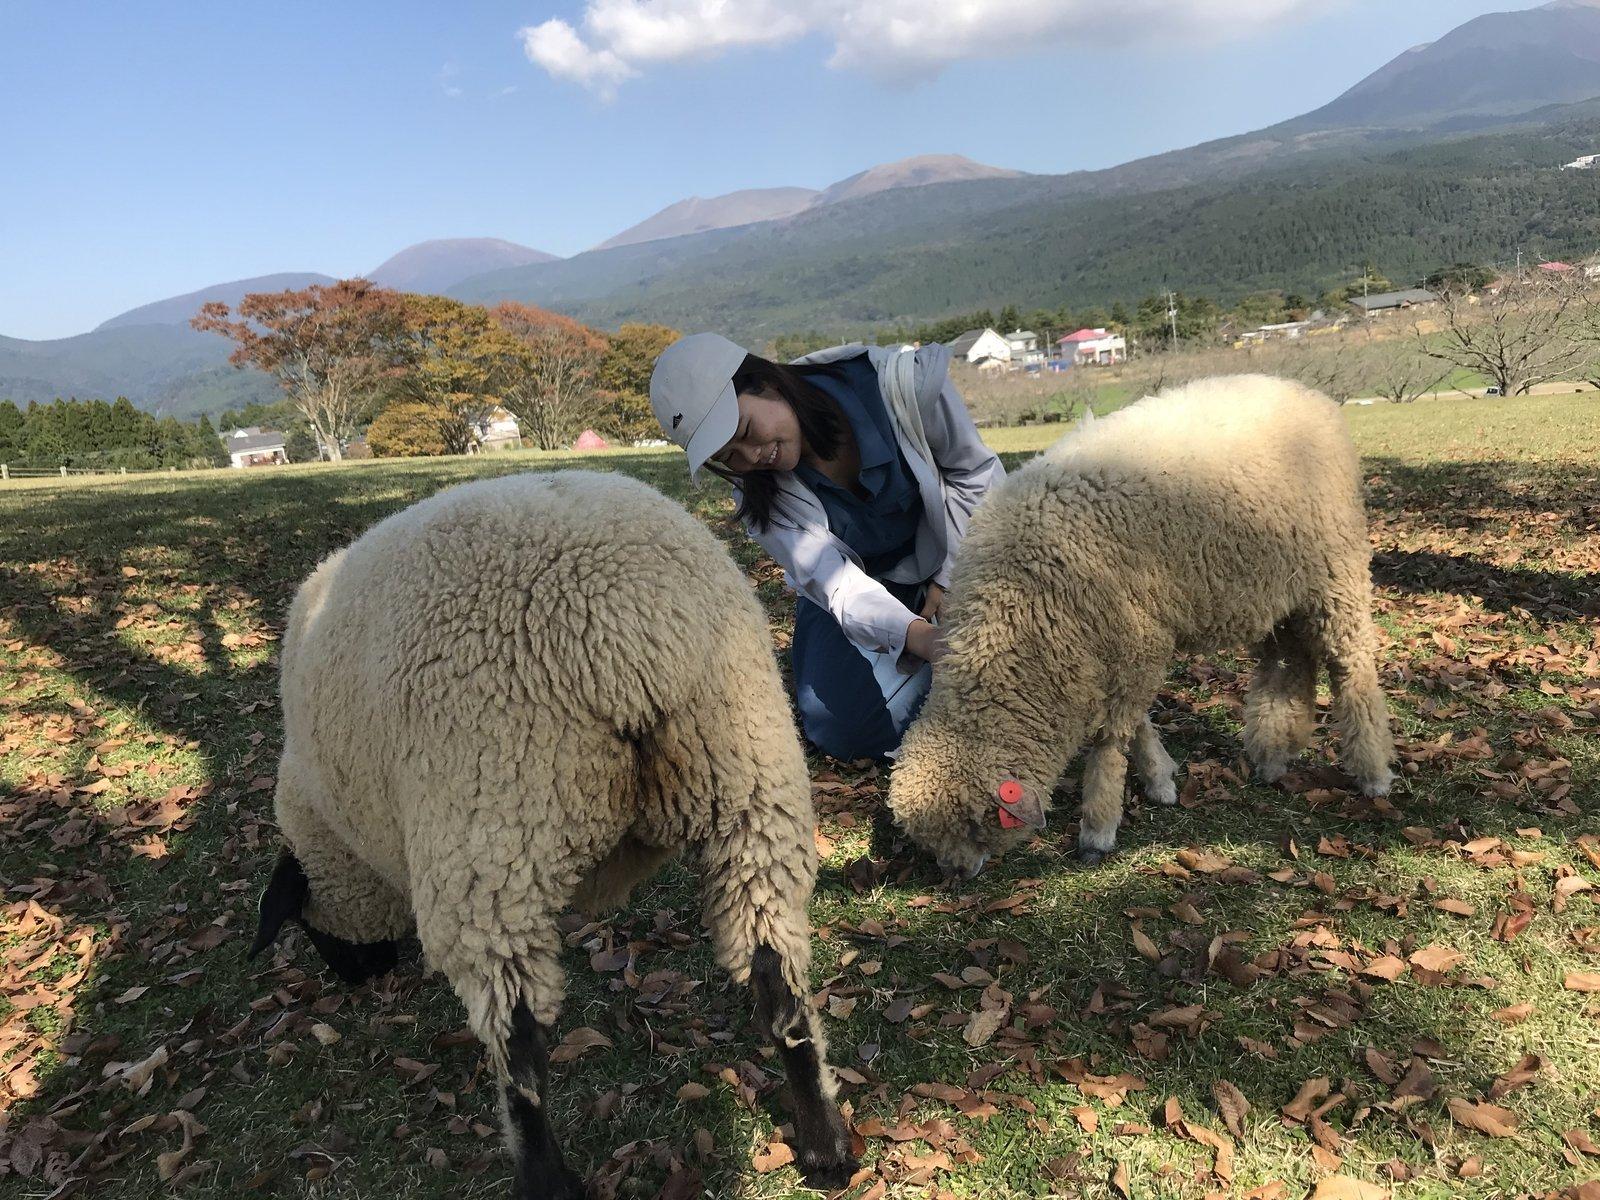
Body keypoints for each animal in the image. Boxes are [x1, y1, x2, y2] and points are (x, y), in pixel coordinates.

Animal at [244, 473, 857, 1200]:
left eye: (306, 923)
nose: (358, 979)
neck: (334, 820)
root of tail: (633, 635)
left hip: (492, 830)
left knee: (519, 1045)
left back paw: (545, 1177)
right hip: (750, 779)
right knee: (777, 978)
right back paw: (825, 1146)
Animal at [883, 380, 1395, 876]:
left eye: (973, 828)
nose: (956, 874)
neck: (1018, 606)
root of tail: (1310, 396)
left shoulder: (1136, 640)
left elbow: (1111, 738)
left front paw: (1100, 827)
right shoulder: (1123, 646)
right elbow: (1137, 722)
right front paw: (1160, 778)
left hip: (1337, 570)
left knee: (1351, 666)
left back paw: (1374, 773)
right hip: (1279, 589)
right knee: (1289, 664)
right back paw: (1274, 754)